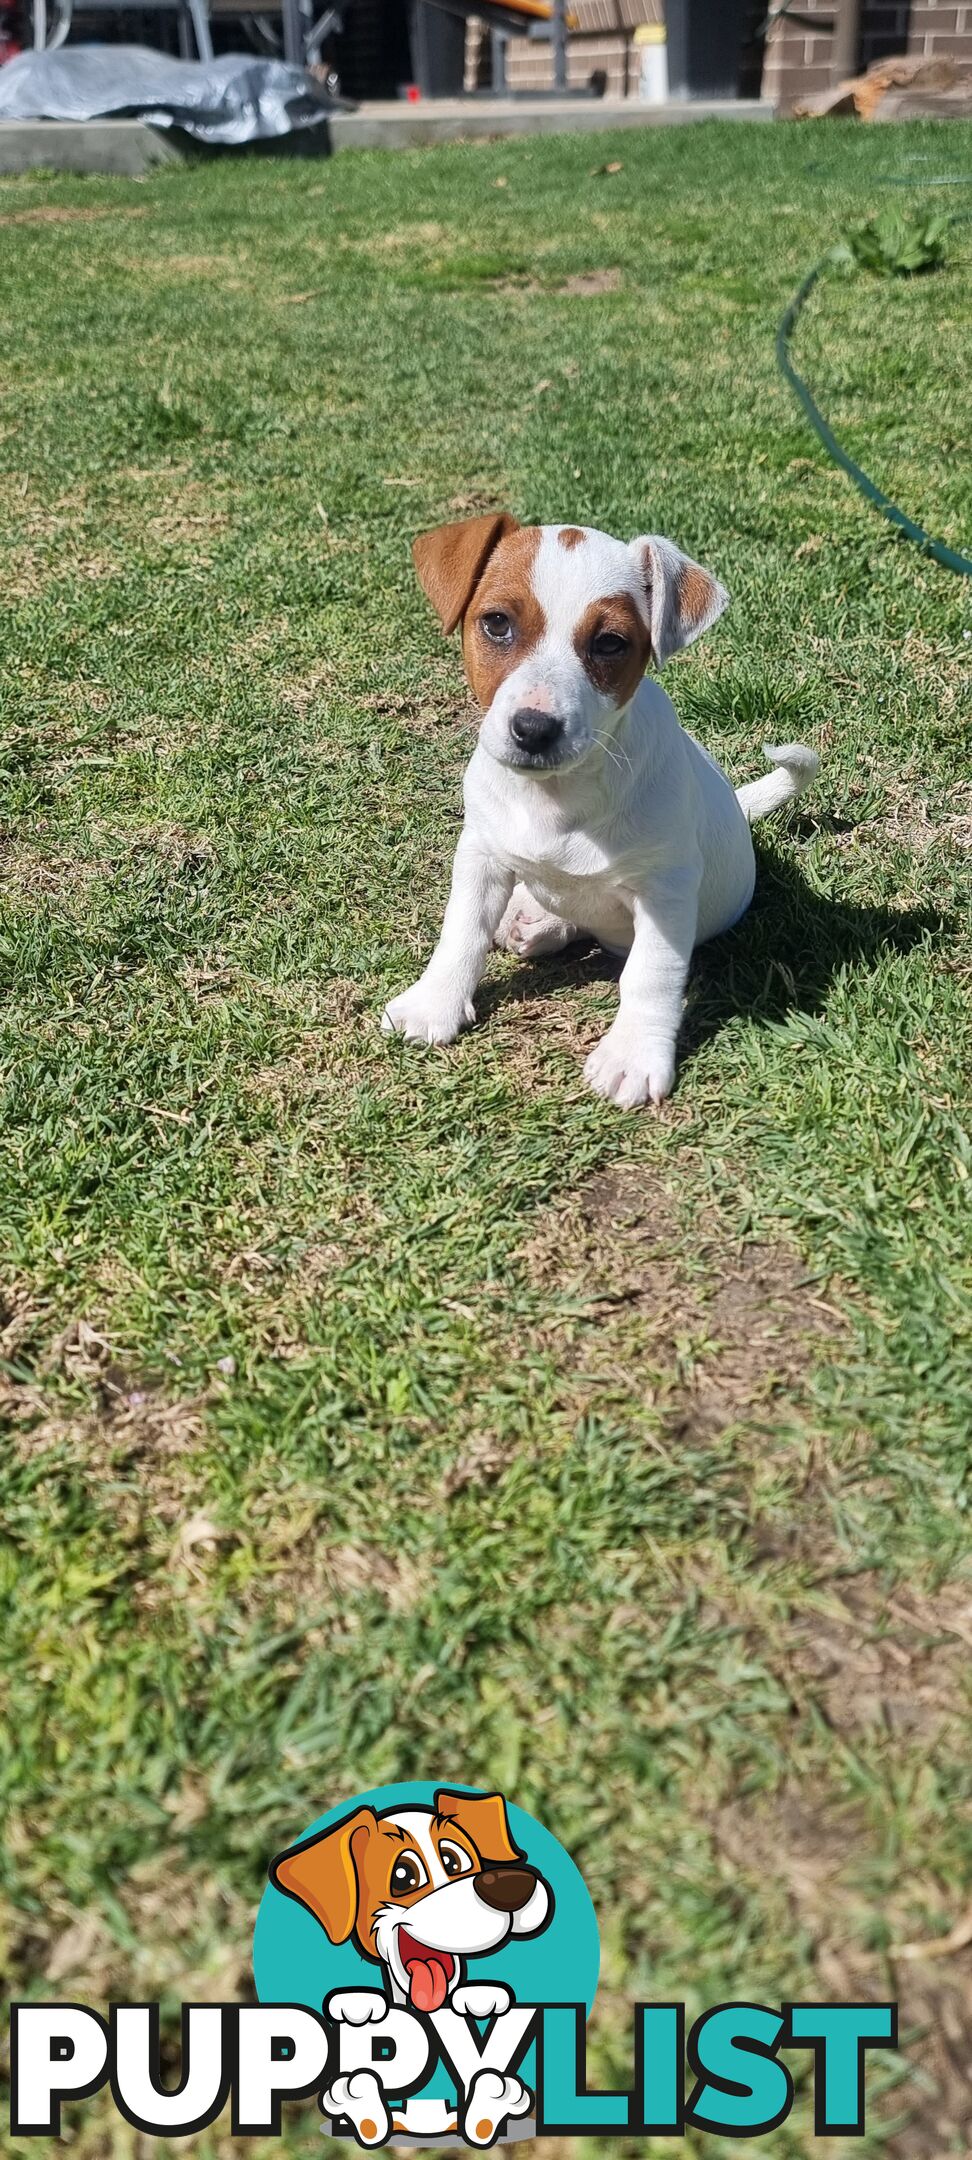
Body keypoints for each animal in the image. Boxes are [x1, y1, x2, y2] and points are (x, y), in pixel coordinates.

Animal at [382, 511, 820, 1105]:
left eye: (610, 643)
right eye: (496, 623)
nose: (533, 729)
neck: (557, 797)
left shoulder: (665, 890)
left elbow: (650, 974)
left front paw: (633, 1054)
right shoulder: (480, 854)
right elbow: (462, 931)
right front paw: (434, 1003)